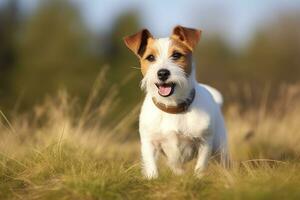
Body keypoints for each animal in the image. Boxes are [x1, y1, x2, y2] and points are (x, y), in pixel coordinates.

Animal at [123, 25, 229, 179]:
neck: (172, 107)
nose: (162, 73)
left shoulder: (205, 143)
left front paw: (198, 179)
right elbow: (151, 166)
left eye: (176, 55)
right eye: (150, 57)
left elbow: (200, 167)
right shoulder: (149, 143)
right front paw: (153, 178)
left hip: (220, 148)